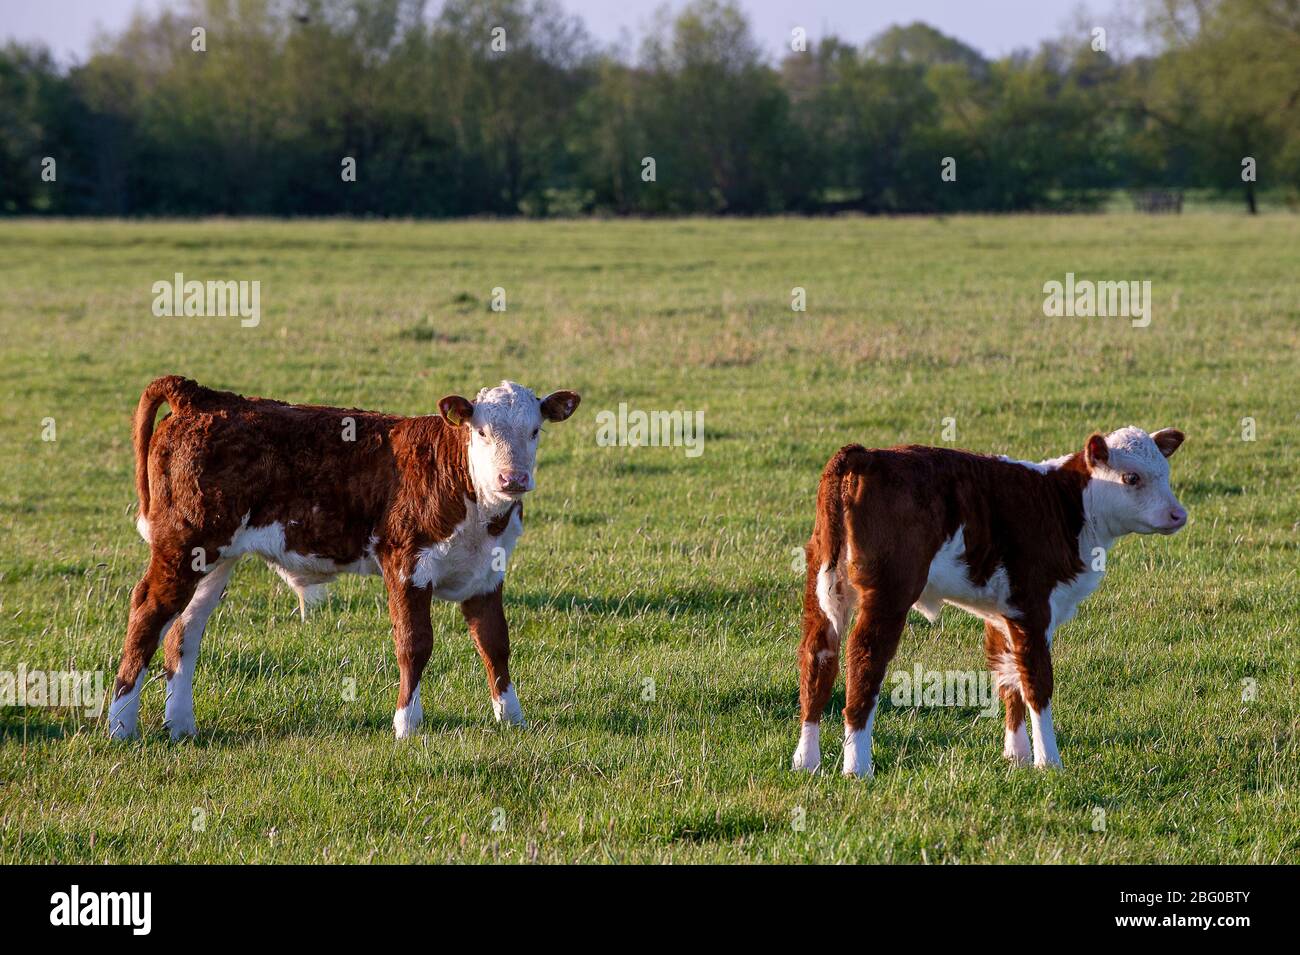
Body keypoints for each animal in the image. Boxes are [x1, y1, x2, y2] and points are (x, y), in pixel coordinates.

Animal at [107, 375, 580, 741]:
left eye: (535, 431)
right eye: (481, 432)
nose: (513, 478)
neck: (476, 504)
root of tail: (201, 396)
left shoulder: (487, 572)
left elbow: (495, 642)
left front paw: (512, 718)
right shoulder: (406, 563)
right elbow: (414, 643)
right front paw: (407, 724)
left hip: (214, 558)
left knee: (184, 630)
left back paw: (181, 725)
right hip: (182, 545)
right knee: (148, 612)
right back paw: (121, 726)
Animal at [791, 427, 1187, 776]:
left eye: (1165, 474)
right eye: (1131, 477)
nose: (1178, 514)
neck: (1066, 505)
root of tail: (868, 454)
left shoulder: (1003, 612)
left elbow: (1009, 677)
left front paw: (1017, 757)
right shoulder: (1032, 606)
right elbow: (1037, 683)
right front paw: (1049, 762)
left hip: (823, 580)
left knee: (818, 658)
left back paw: (807, 761)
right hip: (888, 592)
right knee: (864, 661)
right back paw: (857, 767)